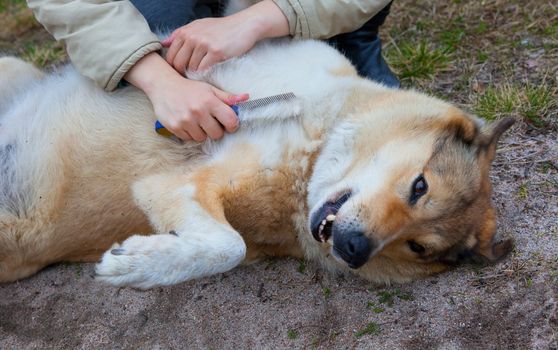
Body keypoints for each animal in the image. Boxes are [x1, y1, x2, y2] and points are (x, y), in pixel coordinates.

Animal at [0, 39, 516, 290]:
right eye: (419, 186)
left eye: (418, 247)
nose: (353, 249)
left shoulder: (174, 186)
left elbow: (229, 247)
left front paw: (140, 265)